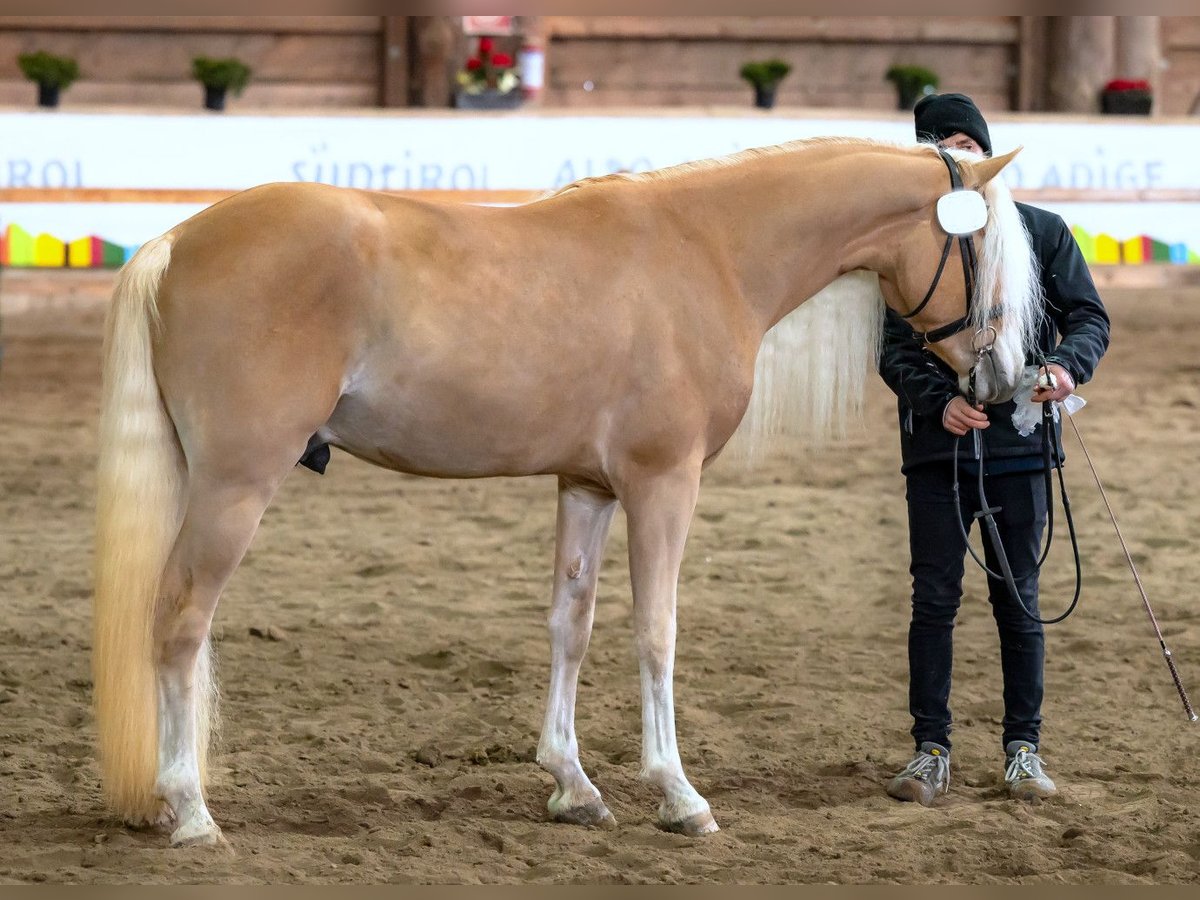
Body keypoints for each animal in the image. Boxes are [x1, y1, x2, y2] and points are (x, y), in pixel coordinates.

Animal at [93, 137, 1036, 849]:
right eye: (984, 249)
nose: (1001, 380)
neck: (709, 249)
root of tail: (178, 241)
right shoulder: (663, 481)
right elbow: (656, 631)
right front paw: (678, 794)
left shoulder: (588, 486)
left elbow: (569, 627)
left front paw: (572, 783)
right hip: (235, 487)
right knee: (178, 622)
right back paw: (192, 811)